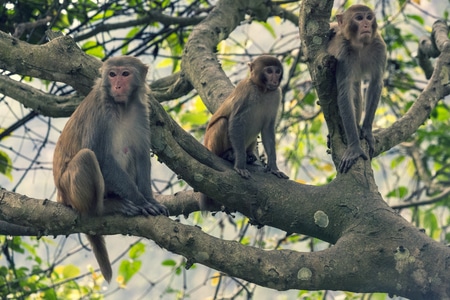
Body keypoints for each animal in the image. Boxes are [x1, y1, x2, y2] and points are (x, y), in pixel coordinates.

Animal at [53, 56, 169, 284]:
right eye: (112, 74)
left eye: (125, 74)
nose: (117, 86)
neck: (122, 107)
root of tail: (60, 195)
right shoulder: (99, 111)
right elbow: (100, 155)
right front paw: (141, 201)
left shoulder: (141, 110)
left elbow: (141, 154)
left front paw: (150, 200)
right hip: (70, 190)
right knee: (87, 157)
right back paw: (107, 207)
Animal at [200, 54, 288, 211]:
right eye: (269, 71)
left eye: (277, 71)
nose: (274, 80)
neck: (262, 90)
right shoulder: (245, 90)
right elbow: (236, 122)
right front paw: (240, 165)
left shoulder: (276, 94)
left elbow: (267, 129)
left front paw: (273, 167)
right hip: (212, 144)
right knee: (223, 122)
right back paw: (228, 155)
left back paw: (249, 156)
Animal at [326, 4, 386, 173]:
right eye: (359, 18)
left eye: (369, 18)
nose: (366, 25)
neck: (360, 45)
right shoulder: (343, 54)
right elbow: (344, 93)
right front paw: (354, 148)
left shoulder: (379, 46)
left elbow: (376, 83)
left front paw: (367, 131)